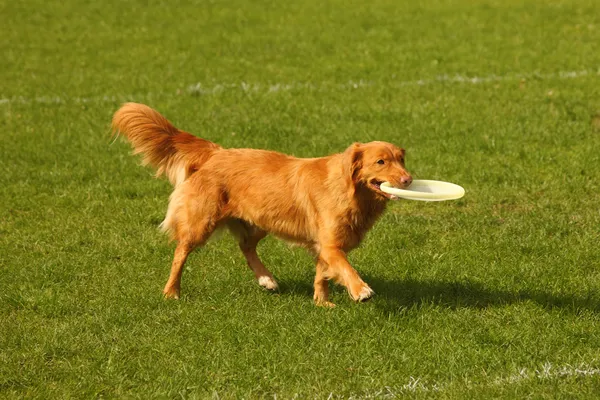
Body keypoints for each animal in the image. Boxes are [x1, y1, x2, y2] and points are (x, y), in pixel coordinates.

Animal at [111, 103, 412, 306]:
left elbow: (322, 273)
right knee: (180, 253)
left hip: (262, 219)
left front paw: (321, 302)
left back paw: (266, 279)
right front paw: (360, 290)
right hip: (201, 223)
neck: (350, 190)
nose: (408, 179)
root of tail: (215, 152)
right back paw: (171, 292)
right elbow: (345, 268)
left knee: (246, 247)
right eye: (381, 162)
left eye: (401, 159)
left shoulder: (322, 244)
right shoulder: (330, 244)